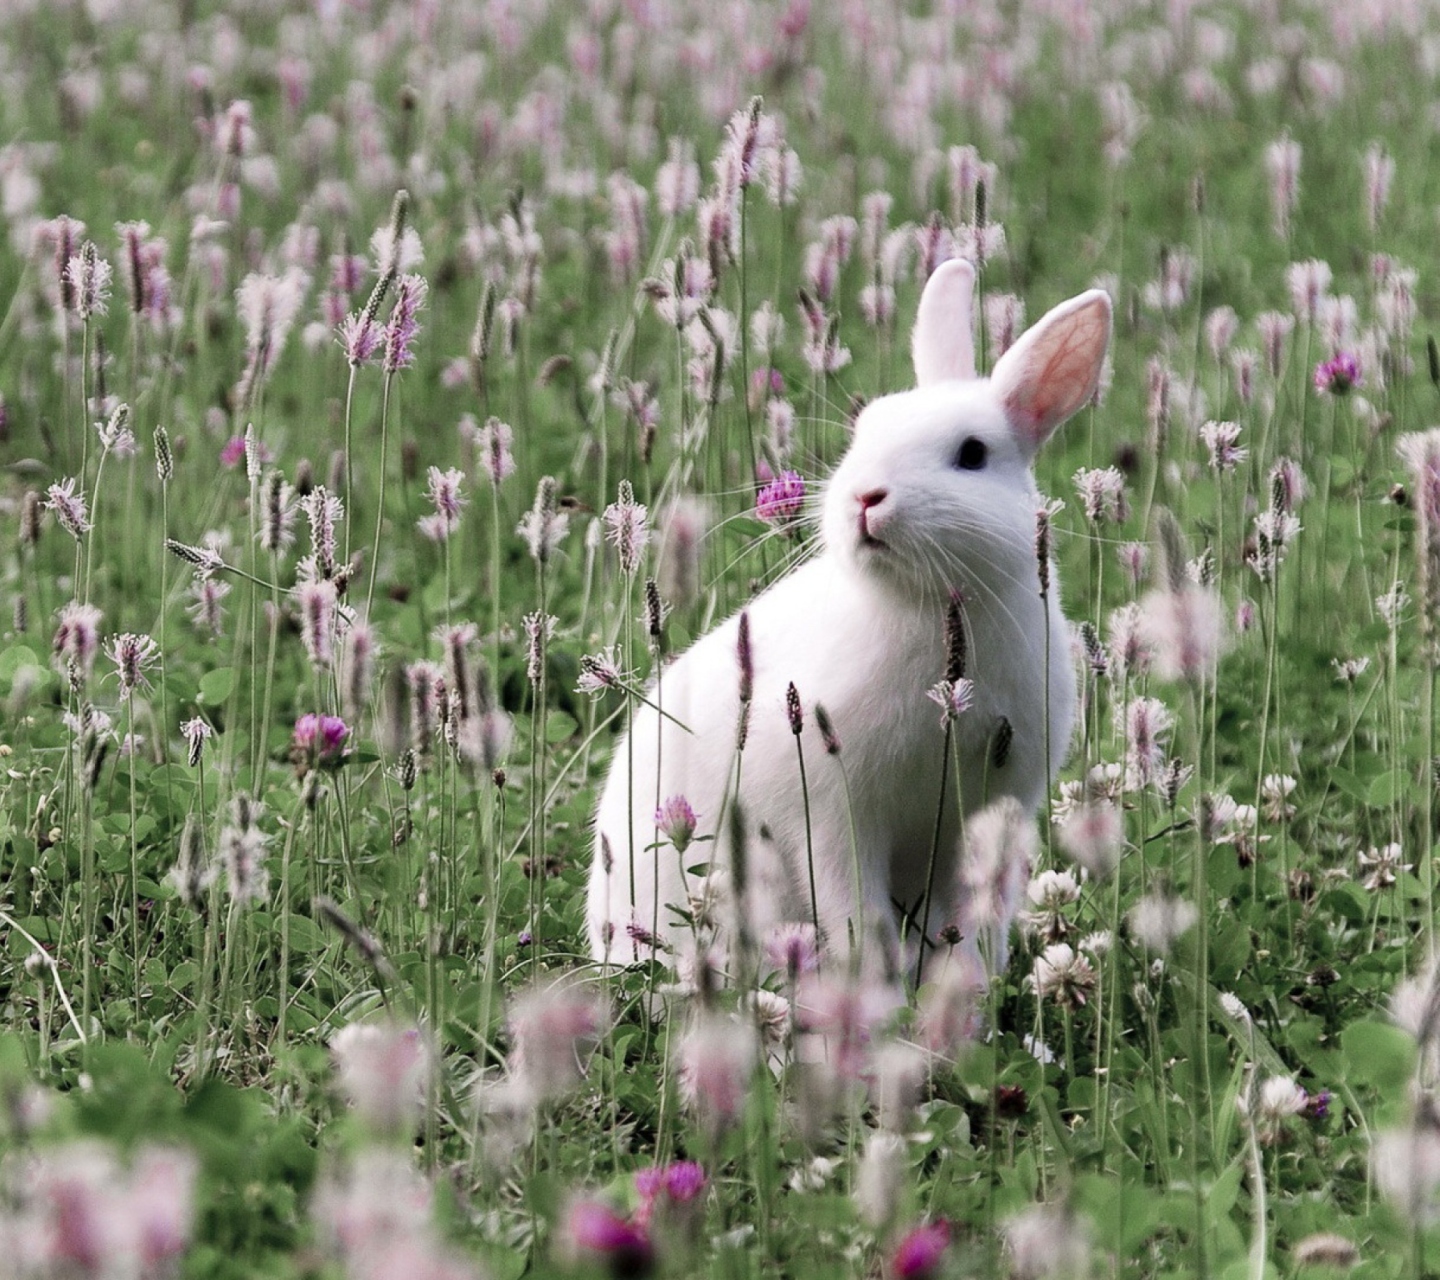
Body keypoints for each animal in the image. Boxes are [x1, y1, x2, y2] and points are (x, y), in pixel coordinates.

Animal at [584, 262, 1111, 979]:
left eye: (973, 454)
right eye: (865, 430)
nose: (866, 497)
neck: (923, 606)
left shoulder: (990, 812)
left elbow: (973, 919)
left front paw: (967, 991)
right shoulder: (832, 819)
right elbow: (858, 917)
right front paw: (880, 992)